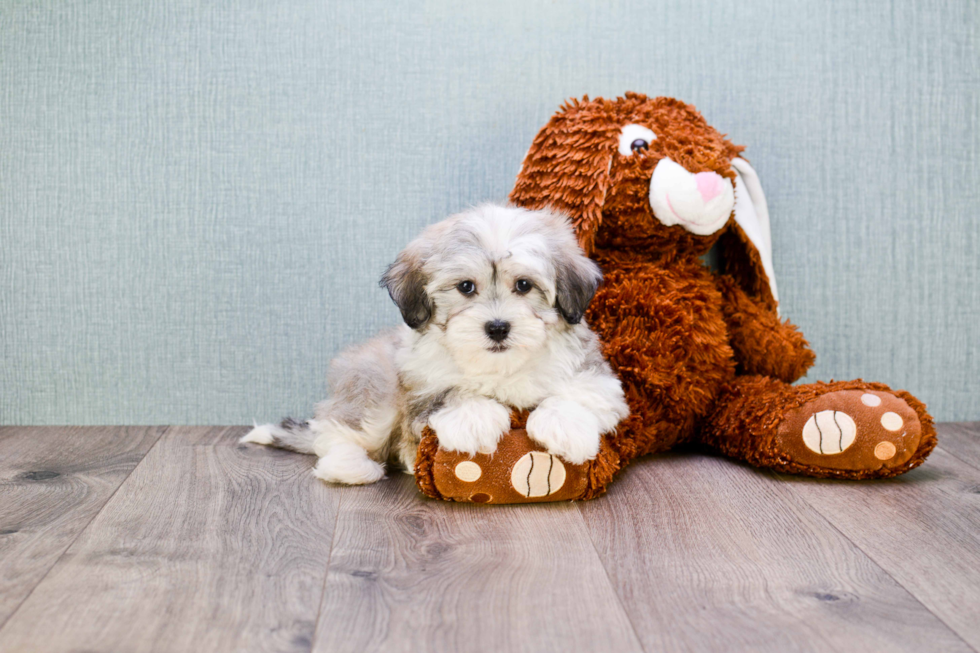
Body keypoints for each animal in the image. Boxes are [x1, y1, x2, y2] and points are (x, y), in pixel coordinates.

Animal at [242, 204, 632, 484]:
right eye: (465, 287)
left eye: (524, 285)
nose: (497, 327)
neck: (499, 366)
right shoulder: (419, 387)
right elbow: (448, 393)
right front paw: (476, 418)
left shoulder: (598, 378)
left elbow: (580, 392)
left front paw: (564, 427)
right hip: (373, 383)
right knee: (339, 432)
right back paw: (352, 468)